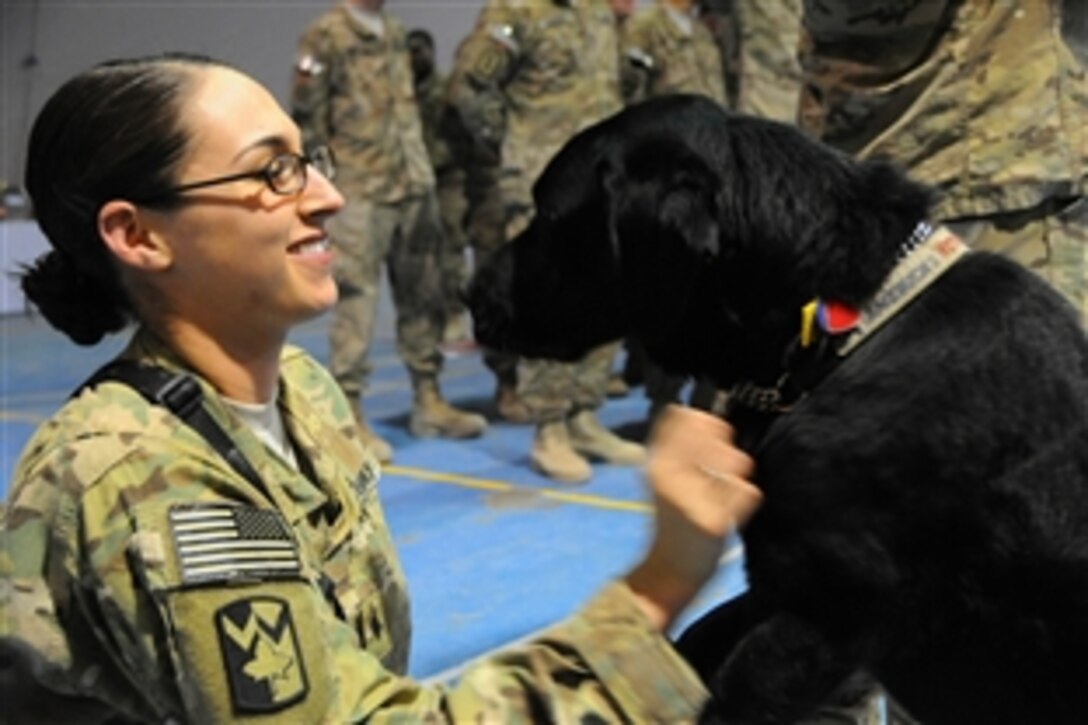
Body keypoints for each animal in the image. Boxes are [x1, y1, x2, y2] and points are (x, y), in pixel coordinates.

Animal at [467, 93, 1088, 718]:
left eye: (548, 215)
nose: (470, 295)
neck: (838, 336)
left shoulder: (831, 612)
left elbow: (731, 687)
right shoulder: (776, 587)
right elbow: (698, 639)